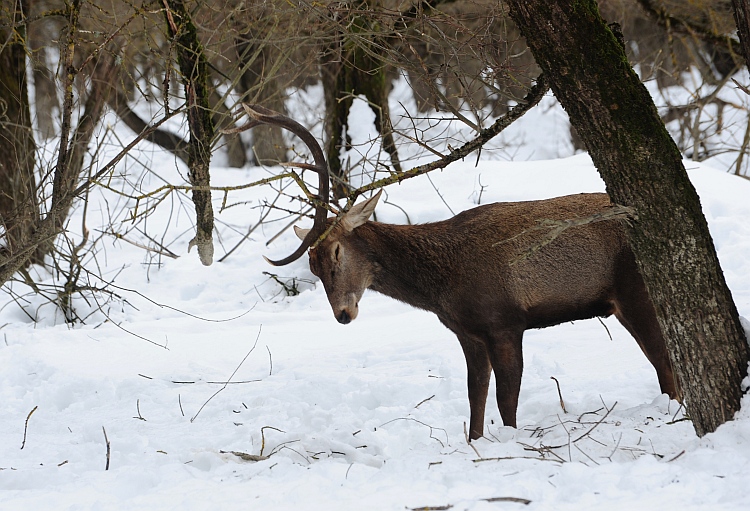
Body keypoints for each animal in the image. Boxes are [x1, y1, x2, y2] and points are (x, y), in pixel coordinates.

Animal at [236, 103, 680, 440]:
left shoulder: (506, 322)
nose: (343, 314)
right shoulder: (468, 333)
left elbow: (506, 400)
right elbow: (475, 397)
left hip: (635, 290)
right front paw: (476, 443)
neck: (441, 289)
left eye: (336, 250)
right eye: (311, 264)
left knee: (664, 359)